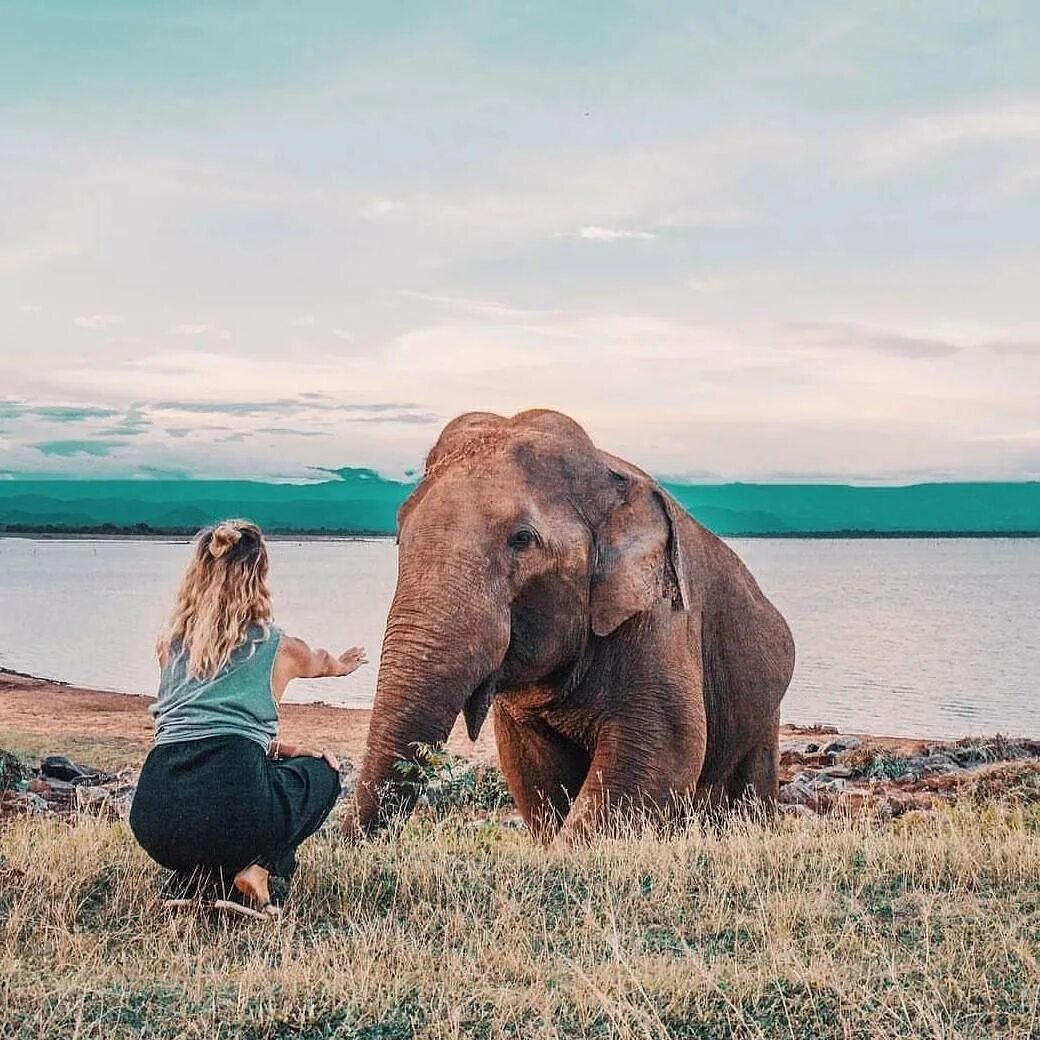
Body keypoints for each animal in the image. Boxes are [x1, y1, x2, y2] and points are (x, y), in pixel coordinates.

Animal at [351, 409, 794, 840]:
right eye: (399, 533)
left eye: (522, 539)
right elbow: (532, 767)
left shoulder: (660, 619)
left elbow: (664, 744)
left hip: (764, 710)